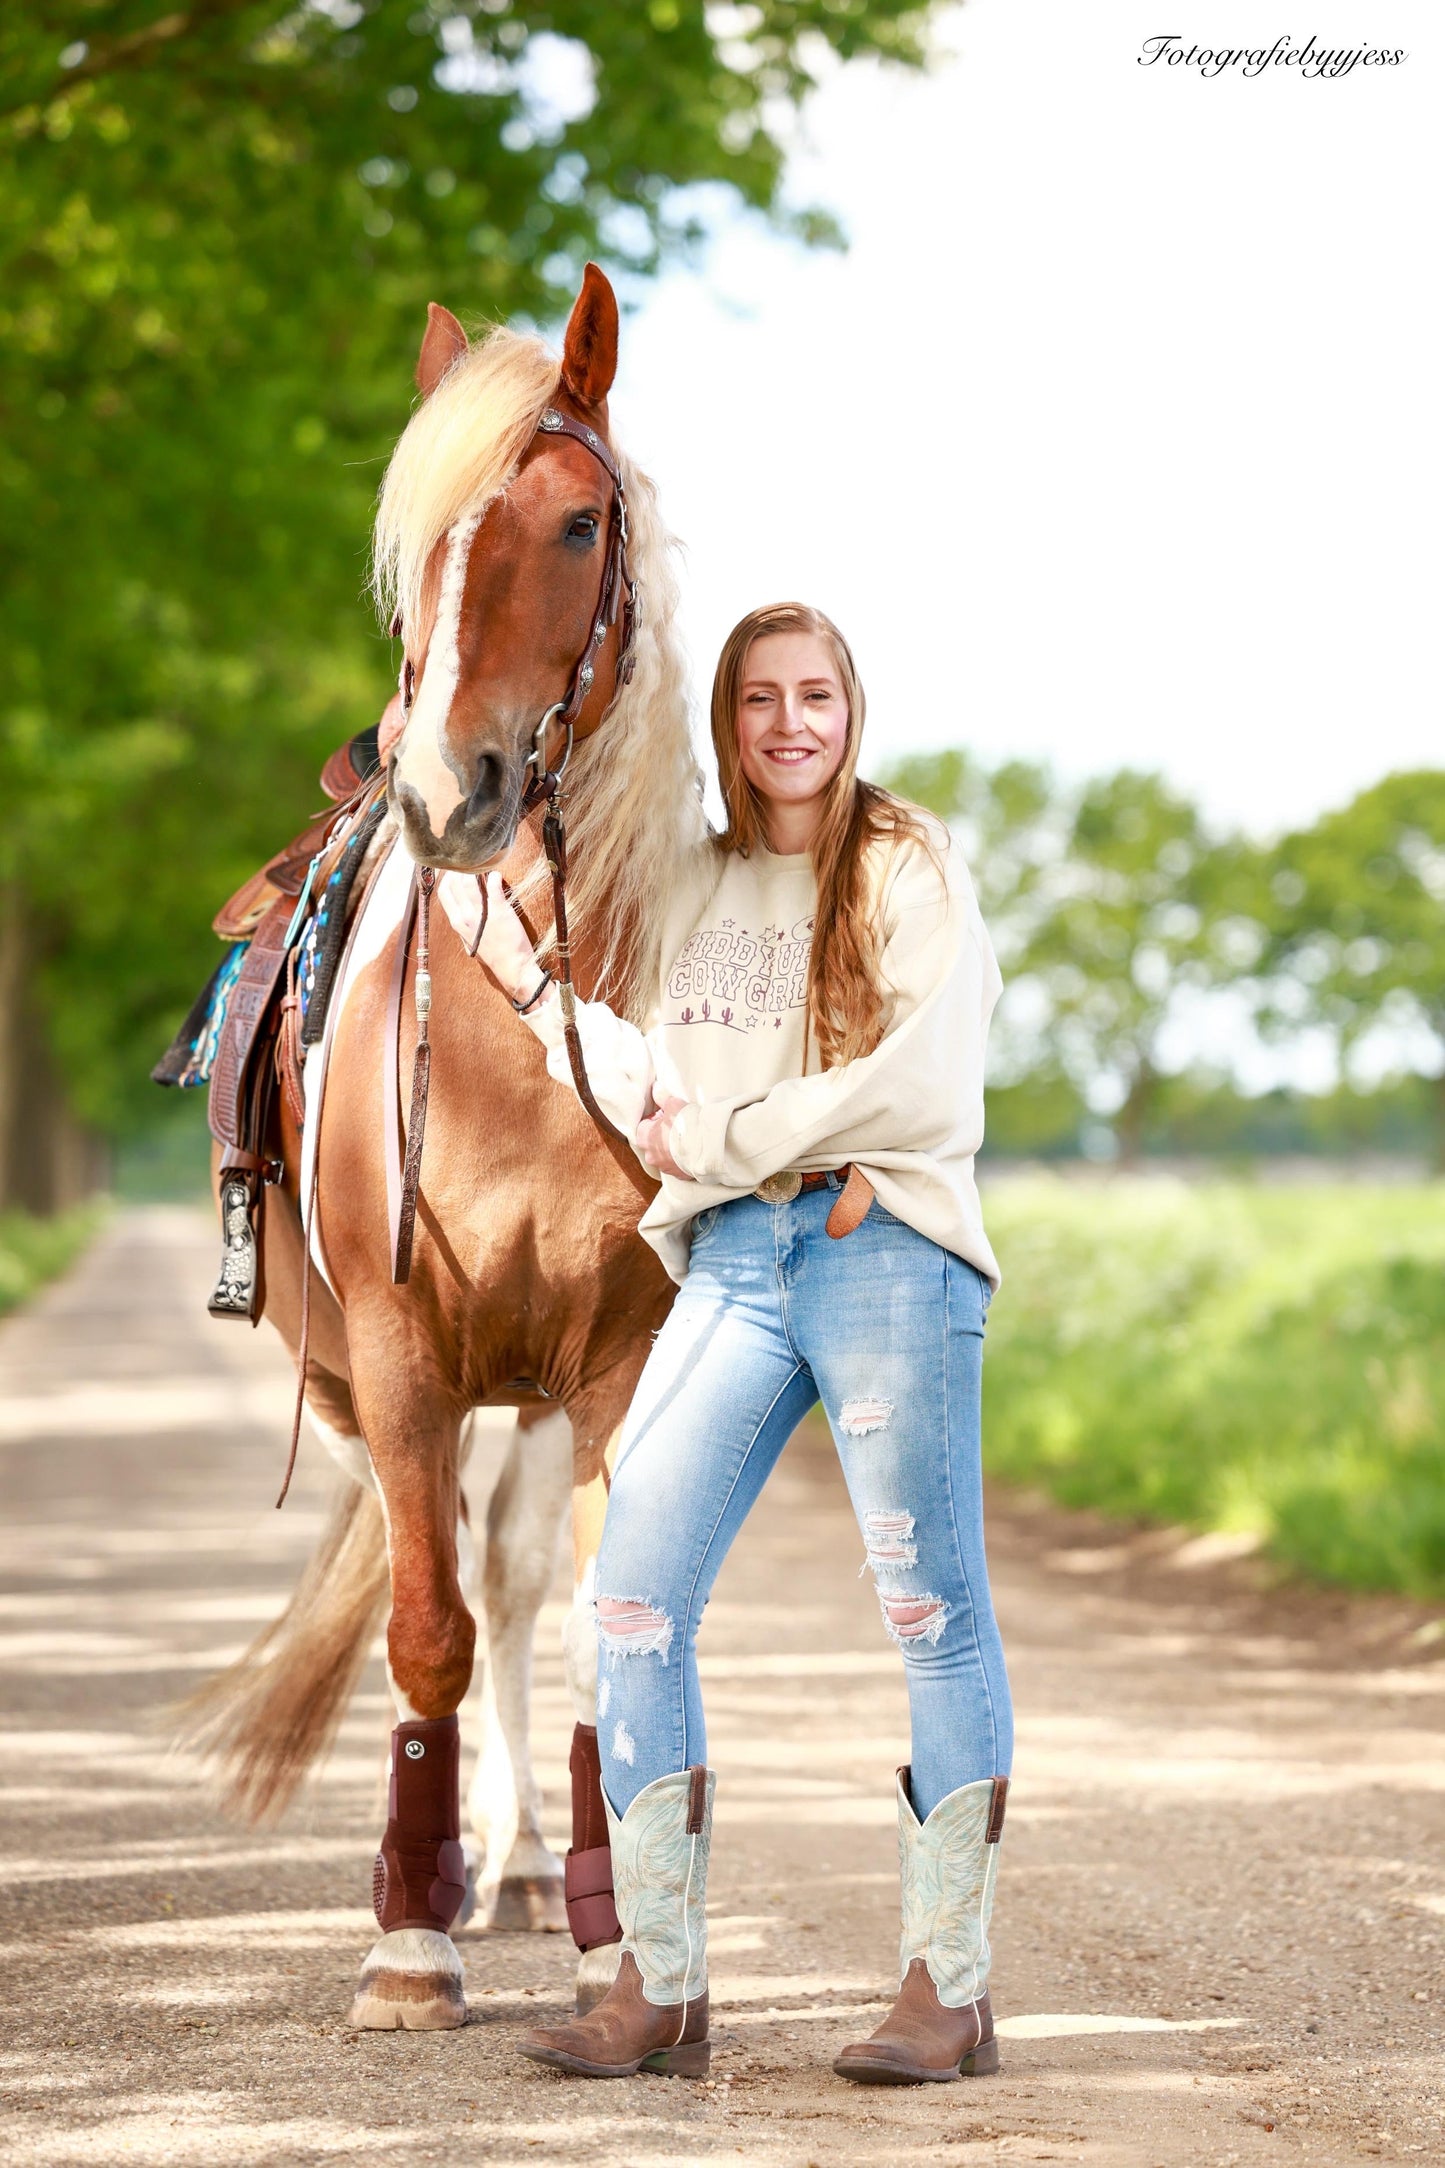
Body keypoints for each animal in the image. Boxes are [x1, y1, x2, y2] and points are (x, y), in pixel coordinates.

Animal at [185, 264, 706, 2030]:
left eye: (577, 523)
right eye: (413, 546)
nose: (444, 792)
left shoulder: (614, 1359)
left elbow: (598, 1625)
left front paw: (616, 1934)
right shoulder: (403, 1359)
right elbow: (426, 1633)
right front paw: (407, 1946)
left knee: (521, 1578)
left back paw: (535, 1862)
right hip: (355, 1393)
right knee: (455, 1583)